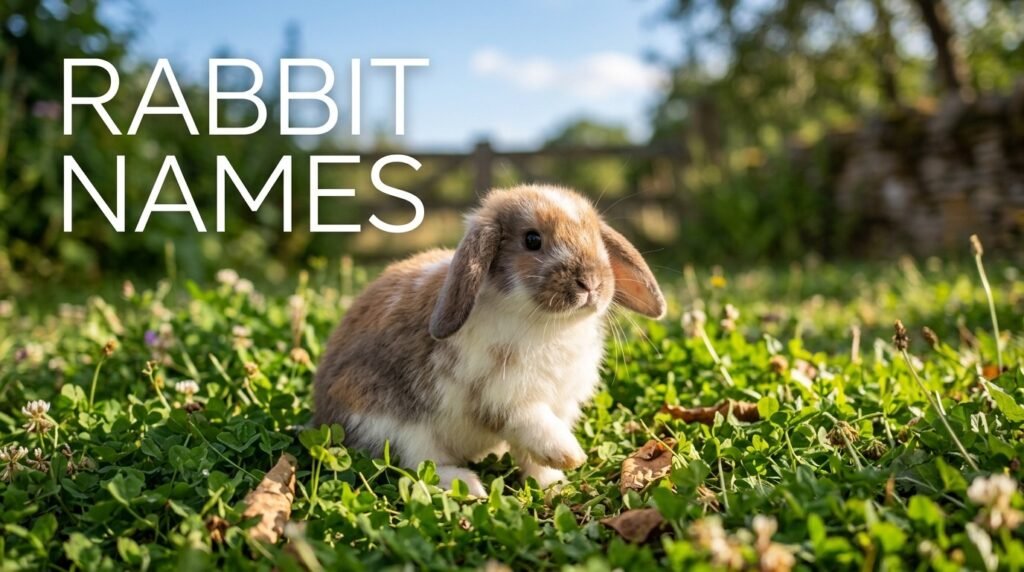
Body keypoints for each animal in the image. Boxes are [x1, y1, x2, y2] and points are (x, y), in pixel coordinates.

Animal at [312, 184, 665, 496]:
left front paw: (553, 484)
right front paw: (569, 455)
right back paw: (467, 485)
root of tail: (323, 414)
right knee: (418, 464)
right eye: (532, 239)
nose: (590, 282)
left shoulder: (559, 402)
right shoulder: (503, 398)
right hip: (391, 424)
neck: (547, 323)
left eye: (595, 237)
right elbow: (534, 424)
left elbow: (532, 457)